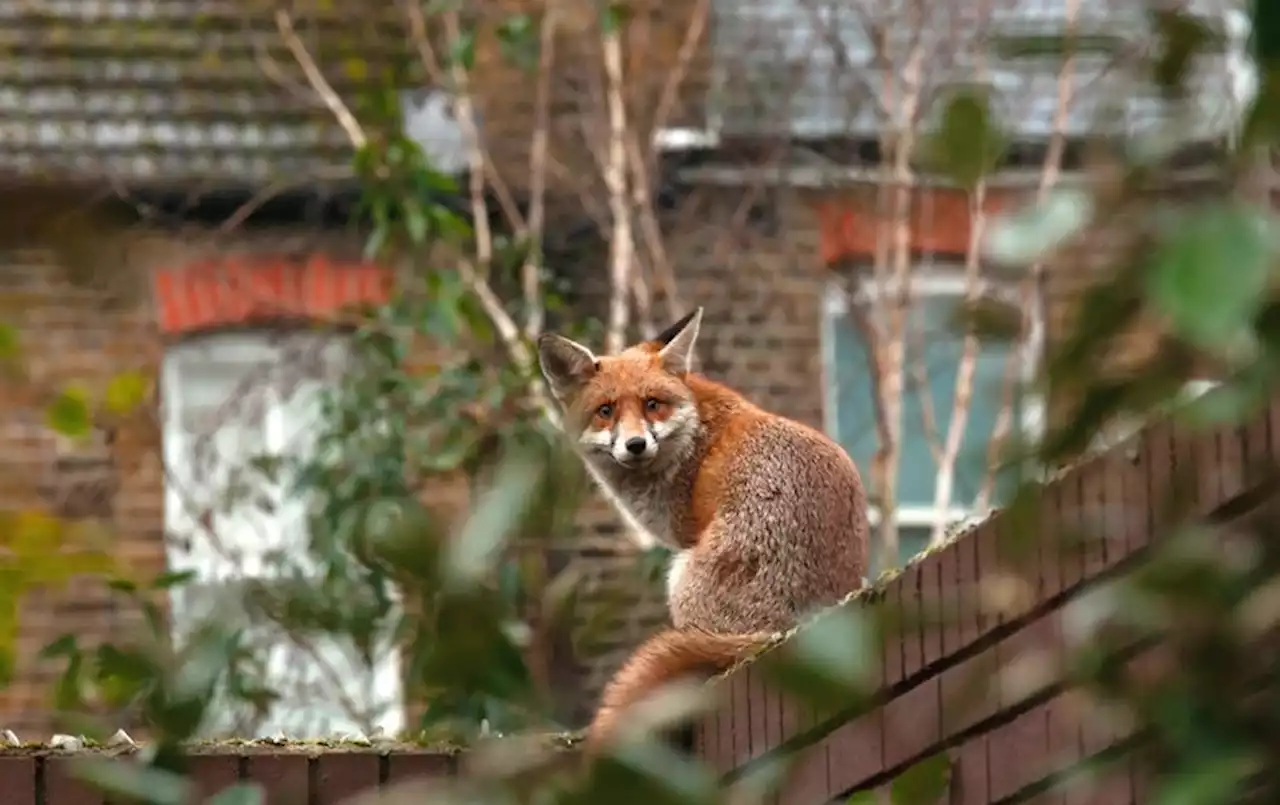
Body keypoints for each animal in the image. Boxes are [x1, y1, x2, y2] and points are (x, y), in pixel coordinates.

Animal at [529, 305, 870, 747]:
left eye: (652, 404)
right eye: (606, 411)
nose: (635, 445)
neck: (693, 435)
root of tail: (794, 628)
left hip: (680, 578)